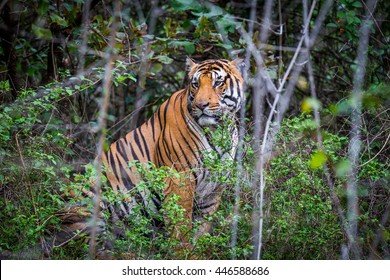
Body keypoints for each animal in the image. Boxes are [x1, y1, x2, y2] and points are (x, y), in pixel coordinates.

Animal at [54, 57, 244, 258]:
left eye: (218, 83)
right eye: (195, 84)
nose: (201, 106)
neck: (219, 129)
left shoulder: (215, 185)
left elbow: (203, 226)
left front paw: (199, 253)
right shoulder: (179, 177)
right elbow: (181, 223)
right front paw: (183, 254)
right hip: (89, 200)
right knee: (89, 249)